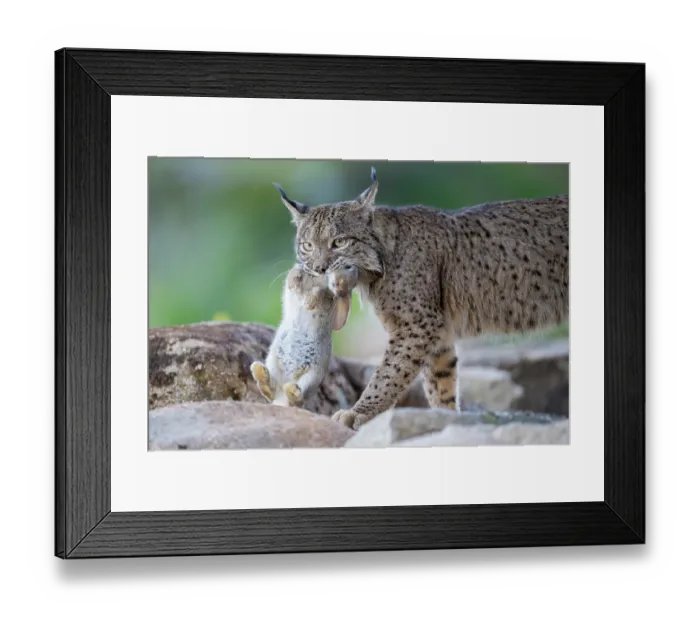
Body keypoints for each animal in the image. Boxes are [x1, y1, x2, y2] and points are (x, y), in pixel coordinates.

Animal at [250, 263, 359, 408]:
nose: (302, 270)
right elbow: (292, 284)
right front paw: (297, 280)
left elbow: (322, 292)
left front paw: (309, 301)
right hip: (272, 361)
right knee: (272, 389)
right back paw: (260, 373)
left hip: (311, 376)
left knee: (297, 399)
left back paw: (292, 390)